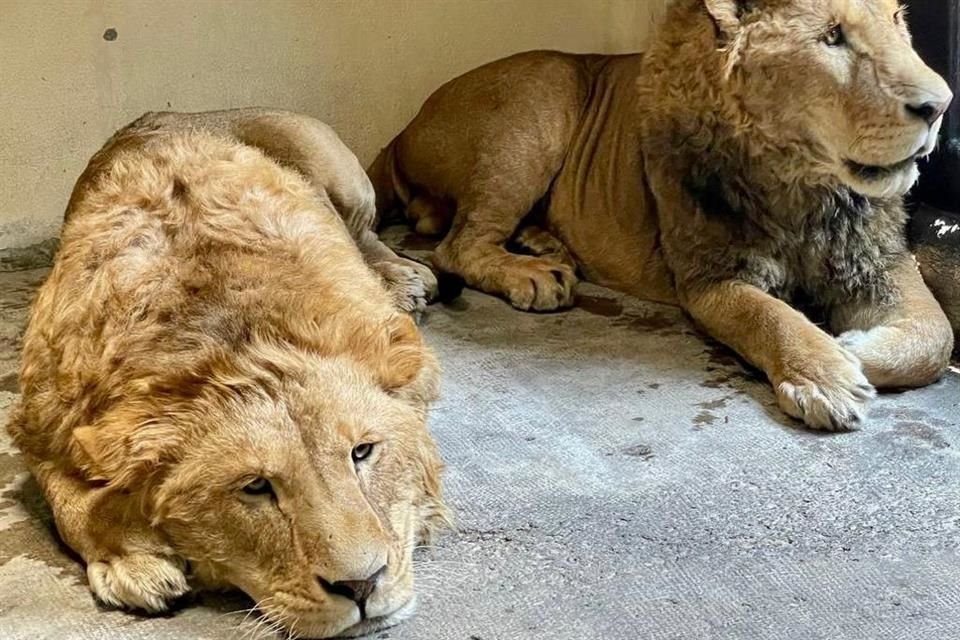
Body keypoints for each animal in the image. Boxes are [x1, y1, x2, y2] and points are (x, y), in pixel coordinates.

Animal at [6, 107, 450, 636]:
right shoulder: (37, 426)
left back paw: (406, 281)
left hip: (340, 173)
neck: (236, 342)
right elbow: (72, 504)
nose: (361, 584)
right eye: (255, 487)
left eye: (363, 452)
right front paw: (133, 563)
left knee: (369, 235)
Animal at [372, 0, 956, 432]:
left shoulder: (879, 260)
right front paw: (826, 372)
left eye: (898, 20)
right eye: (833, 36)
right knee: (458, 244)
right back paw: (534, 275)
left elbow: (934, 336)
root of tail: (401, 131)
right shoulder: (709, 277)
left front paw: (853, 348)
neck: (802, 185)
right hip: (542, 96)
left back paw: (548, 246)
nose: (941, 105)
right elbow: (770, 316)